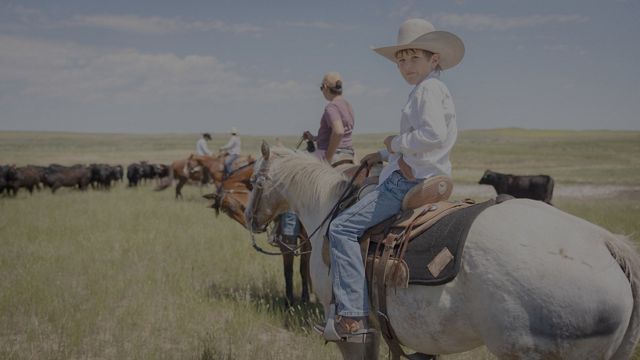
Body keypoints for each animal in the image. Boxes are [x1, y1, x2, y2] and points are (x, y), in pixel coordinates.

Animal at [200, 158, 310, 306]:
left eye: (230, 206)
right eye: (225, 212)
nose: (256, 227)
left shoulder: (303, 240)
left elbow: (299, 269)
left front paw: (296, 302)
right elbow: (293, 270)